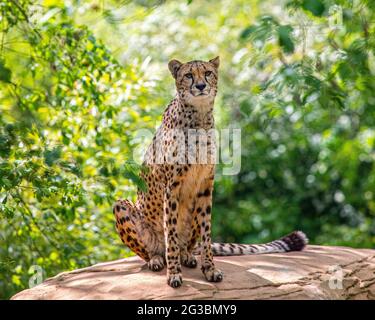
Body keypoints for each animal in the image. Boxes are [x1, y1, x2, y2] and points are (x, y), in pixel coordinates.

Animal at [112, 56, 308, 288]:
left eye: (207, 73)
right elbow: (171, 232)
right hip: (122, 206)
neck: (200, 117)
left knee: (187, 246)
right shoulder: (172, 187)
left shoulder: (206, 185)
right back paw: (157, 259)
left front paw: (210, 269)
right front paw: (174, 274)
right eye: (188, 75)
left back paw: (187, 256)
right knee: (151, 250)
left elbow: (206, 232)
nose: (200, 86)